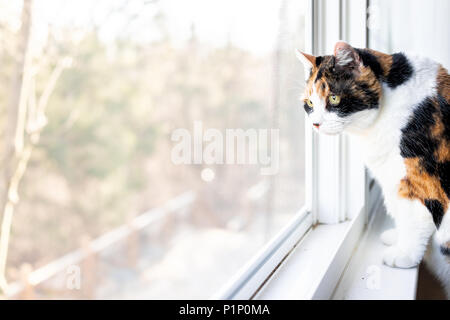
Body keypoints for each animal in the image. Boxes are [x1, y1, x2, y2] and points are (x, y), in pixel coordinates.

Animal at [298, 42, 448, 292]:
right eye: (309, 103)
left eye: (334, 98)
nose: (315, 124)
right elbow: (400, 212)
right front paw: (396, 237)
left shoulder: (418, 179)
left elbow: (413, 216)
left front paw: (404, 254)